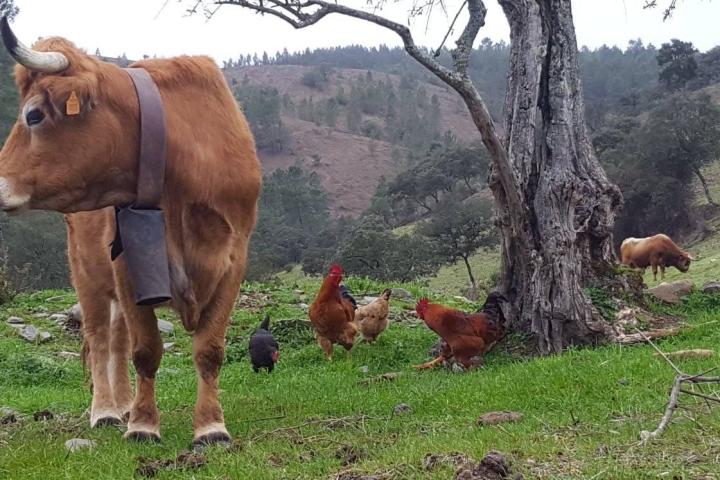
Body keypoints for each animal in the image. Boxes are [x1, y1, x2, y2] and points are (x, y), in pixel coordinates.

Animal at [0, 18, 261, 447]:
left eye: (33, 116)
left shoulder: (233, 260)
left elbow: (209, 349)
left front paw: (210, 426)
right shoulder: (126, 263)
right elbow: (146, 350)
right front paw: (143, 424)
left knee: (118, 338)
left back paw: (122, 404)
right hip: (86, 271)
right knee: (101, 337)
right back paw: (107, 410)